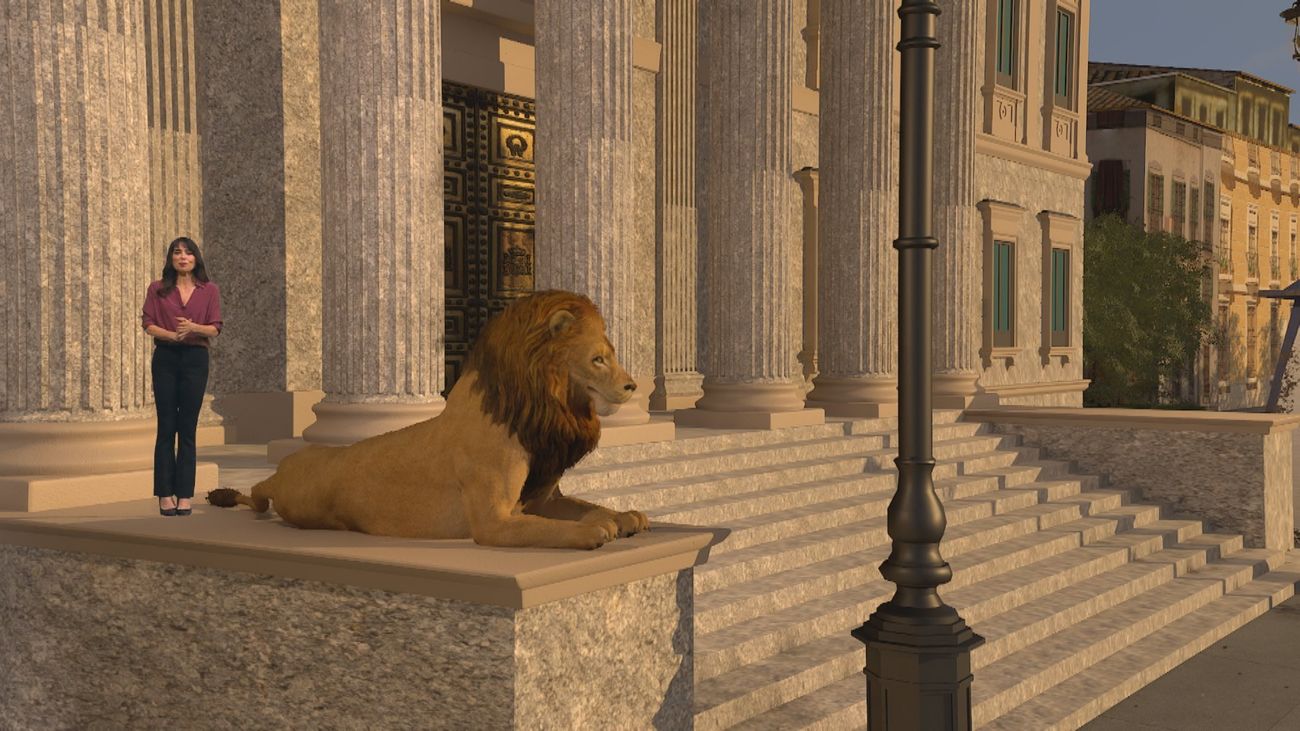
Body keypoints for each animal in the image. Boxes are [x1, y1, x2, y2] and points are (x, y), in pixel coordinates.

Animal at [206, 290, 650, 549]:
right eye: (598, 359)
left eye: (612, 355)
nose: (632, 386)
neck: (540, 411)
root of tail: (280, 474)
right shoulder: (492, 522)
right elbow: (549, 528)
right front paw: (593, 529)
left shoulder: (541, 497)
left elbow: (586, 504)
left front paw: (625, 516)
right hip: (300, 501)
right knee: (260, 491)